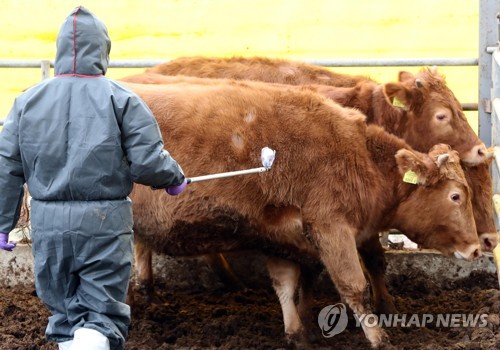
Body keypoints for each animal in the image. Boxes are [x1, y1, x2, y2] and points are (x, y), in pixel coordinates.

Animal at [123, 81, 478, 348]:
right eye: (456, 196)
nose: (476, 249)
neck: (359, 154)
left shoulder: (284, 235)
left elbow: (289, 283)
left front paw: (299, 332)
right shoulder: (331, 226)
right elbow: (354, 286)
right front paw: (380, 339)